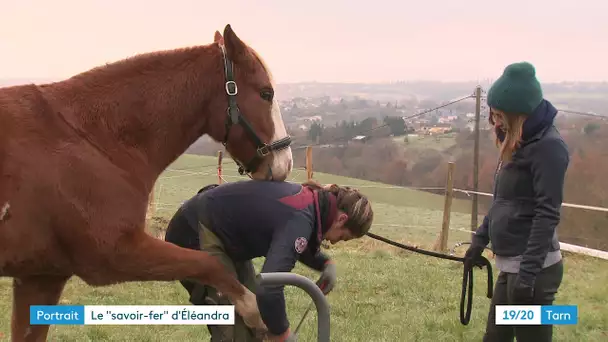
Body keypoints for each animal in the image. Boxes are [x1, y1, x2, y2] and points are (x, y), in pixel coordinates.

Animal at [0, 24, 292, 342]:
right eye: (266, 93)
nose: (285, 163)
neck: (92, 138)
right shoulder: (115, 255)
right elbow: (209, 263)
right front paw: (254, 312)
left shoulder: (41, 278)